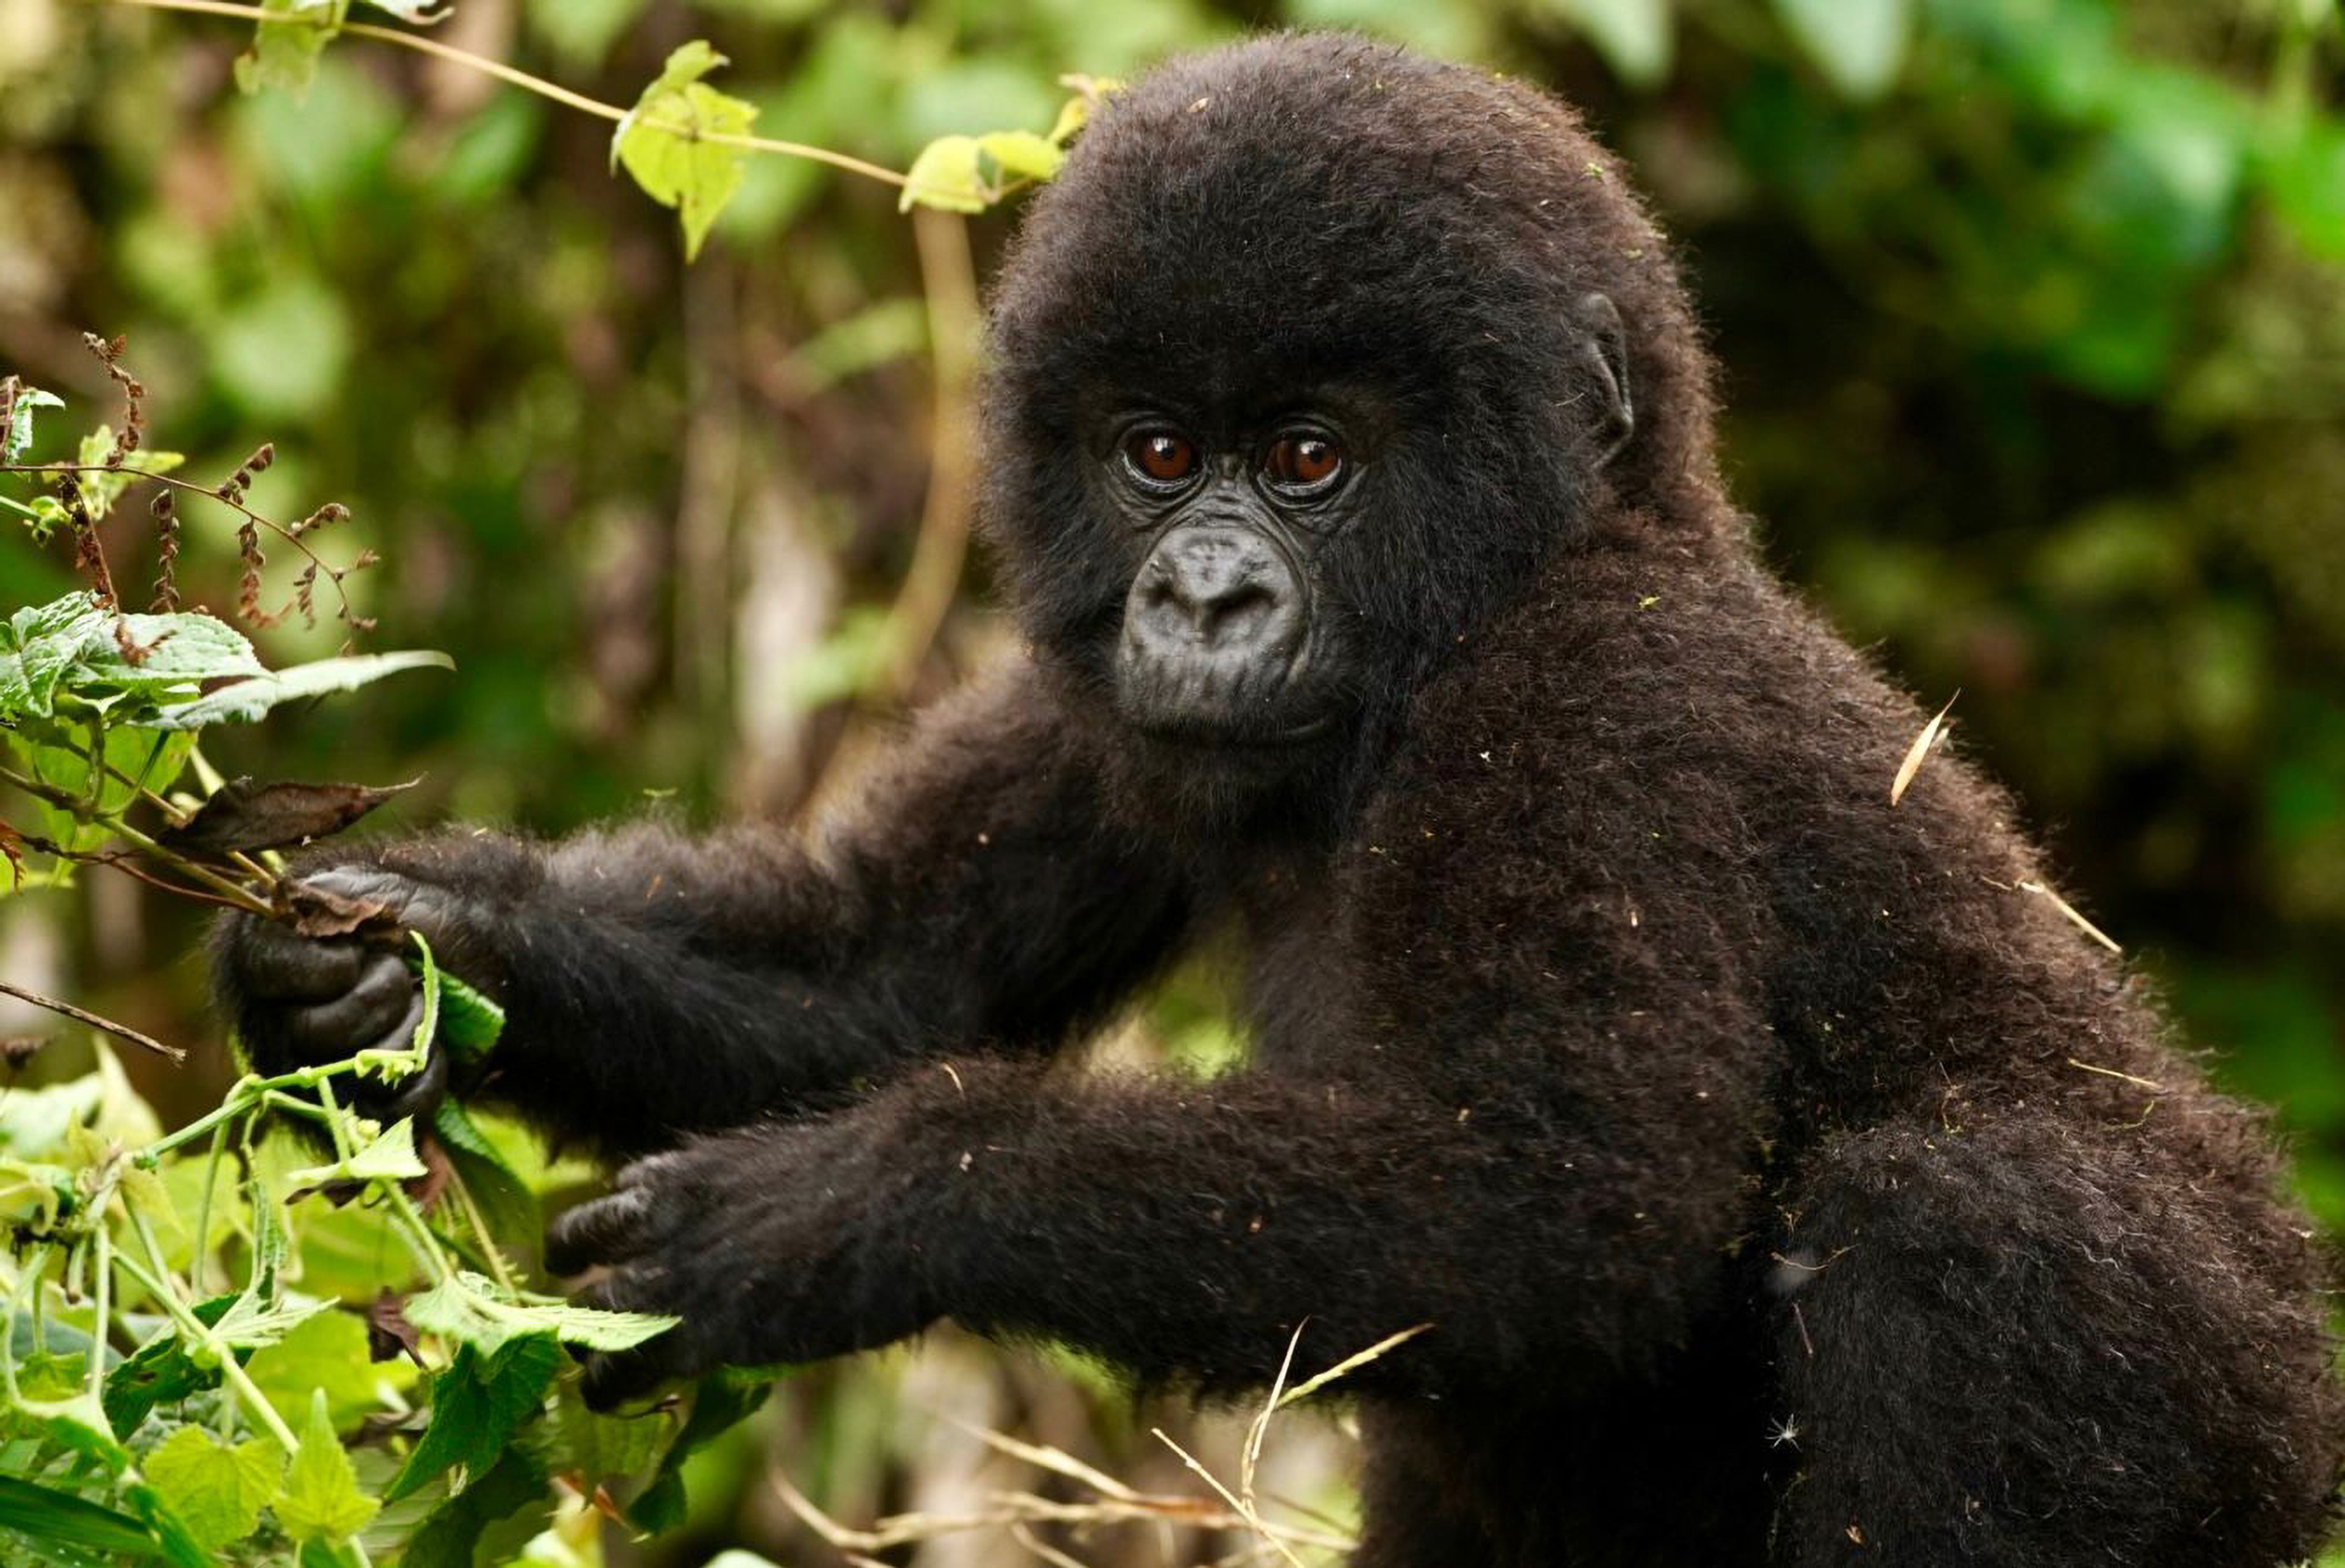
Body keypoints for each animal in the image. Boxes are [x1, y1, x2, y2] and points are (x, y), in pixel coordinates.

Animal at [211, 36, 2335, 1566]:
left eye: (1310, 459)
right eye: (1158, 454)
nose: (1206, 600)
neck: (1536, 564)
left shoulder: (1596, 706)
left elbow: (1552, 1196)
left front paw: (832, 1217)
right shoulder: (1092, 693)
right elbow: (875, 975)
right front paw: (384, 969)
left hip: (2259, 1412)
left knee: (1973, 1212)